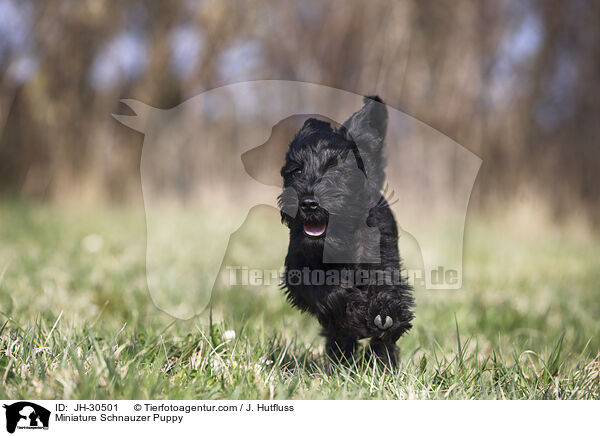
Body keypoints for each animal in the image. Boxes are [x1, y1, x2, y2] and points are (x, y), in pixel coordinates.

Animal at [280, 97, 412, 366]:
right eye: (297, 171)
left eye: (337, 171)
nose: (308, 203)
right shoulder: (297, 271)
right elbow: (327, 292)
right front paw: (353, 307)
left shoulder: (383, 259)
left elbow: (386, 285)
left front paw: (385, 314)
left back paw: (382, 362)